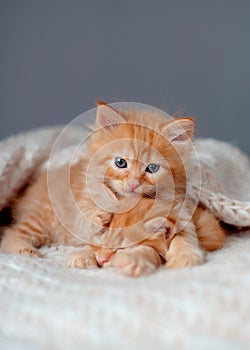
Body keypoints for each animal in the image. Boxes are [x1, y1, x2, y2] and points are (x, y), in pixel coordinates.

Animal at [0, 100, 225, 274]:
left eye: (152, 168)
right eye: (120, 163)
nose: (133, 183)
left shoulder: (180, 210)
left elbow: (185, 236)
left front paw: (185, 256)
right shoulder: (81, 206)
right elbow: (88, 221)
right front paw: (98, 221)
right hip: (41, 220)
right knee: (11, 233)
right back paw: (25, 250)